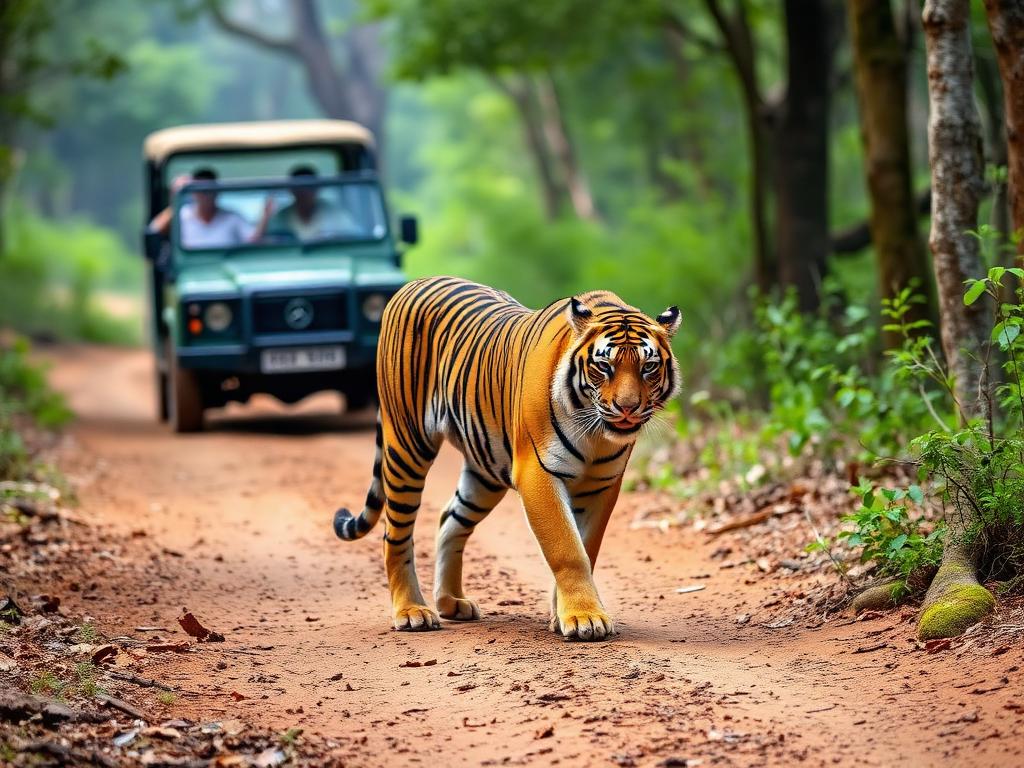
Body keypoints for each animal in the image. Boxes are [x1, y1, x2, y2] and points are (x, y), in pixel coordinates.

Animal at [333, 276, 680, 641]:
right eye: (604, 366)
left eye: (648, 367)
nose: (627, 408)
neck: (595, 433)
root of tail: (412, 284)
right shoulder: (538, 473)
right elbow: (568, 550)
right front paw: (584, 617)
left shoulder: (603, 484)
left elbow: (588, 547)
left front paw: (563, 615)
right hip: (407, 445)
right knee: (395, 533)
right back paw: (412, 611)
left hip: (484, 471)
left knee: (449, 518)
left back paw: (451, 602)